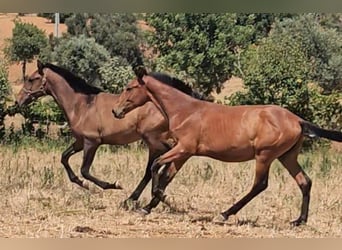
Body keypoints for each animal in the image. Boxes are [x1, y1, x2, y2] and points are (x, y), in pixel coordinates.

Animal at [16, 59, 207, 206]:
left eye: (32, 79)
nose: (18, 101)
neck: (82, 105)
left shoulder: (91, 142)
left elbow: (85, 170)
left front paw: (111, 185)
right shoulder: (80, 142)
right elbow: (64, 158)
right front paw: (81, 183)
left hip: (154, 141)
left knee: (157, 166)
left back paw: (144, 197)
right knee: (158, 167)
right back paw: (139, 198)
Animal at [112, 67, 342, 227]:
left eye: (129, 88)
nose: (116, 111)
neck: (186, 110)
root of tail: (298, 121)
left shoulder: (184, 149)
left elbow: (155, 167)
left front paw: (158, 198)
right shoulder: (183, 153)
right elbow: (166, 175)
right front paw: (148, 206)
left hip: (265, 156)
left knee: (260, 185)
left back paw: (224, 214)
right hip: (287, 156)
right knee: (305, 182)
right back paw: (299, 220)